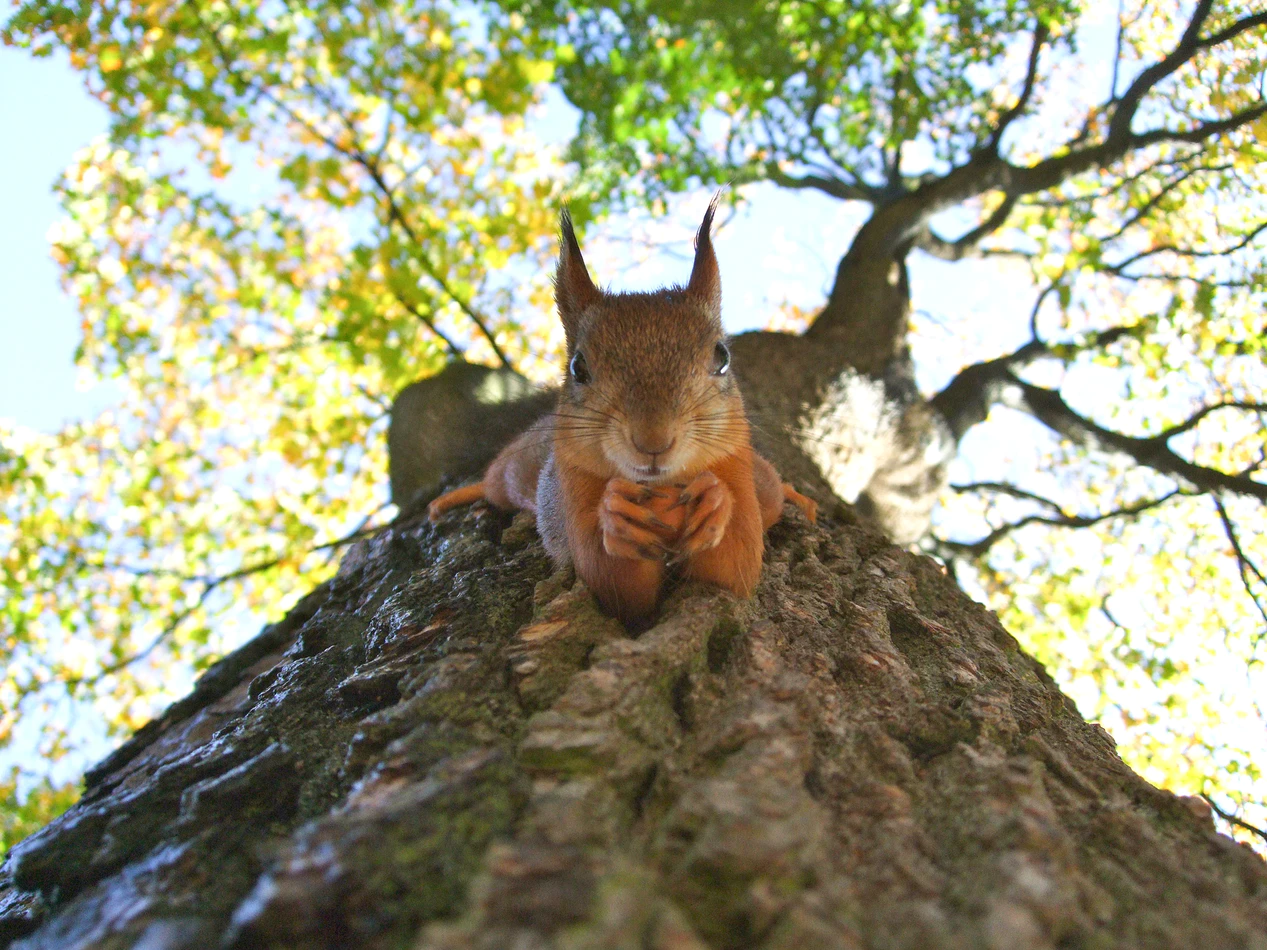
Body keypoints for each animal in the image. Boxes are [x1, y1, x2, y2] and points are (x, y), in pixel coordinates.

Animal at [425, 201, 815, 625]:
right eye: (578, 367)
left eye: (722, 357)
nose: (653, 440)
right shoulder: (573, 491)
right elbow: (614, 584)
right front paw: (616, 515)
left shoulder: (736, 471)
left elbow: (734, 568)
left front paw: (714, 501)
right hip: (514, 472)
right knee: (493, 483)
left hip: (762, 484)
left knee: (774, 489)